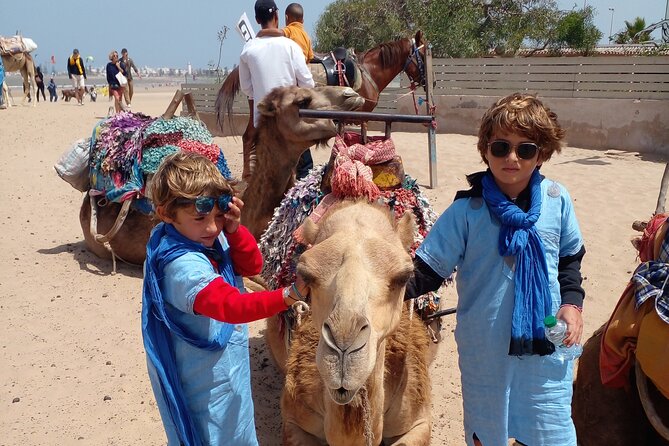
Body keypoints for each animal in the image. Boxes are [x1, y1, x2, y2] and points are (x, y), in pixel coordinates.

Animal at [217, 30, 430, 182]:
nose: (430, 82)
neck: (368, 71)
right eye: (422, 54)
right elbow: (363, 141)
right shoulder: (364, 116)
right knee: (248, 137)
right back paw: (247, 176)